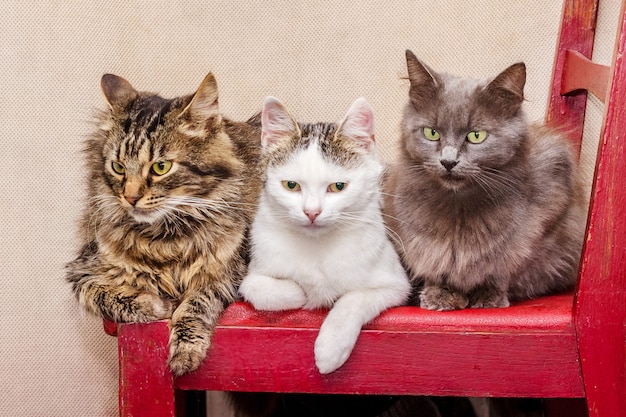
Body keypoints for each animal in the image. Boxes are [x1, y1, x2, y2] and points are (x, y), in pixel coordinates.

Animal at [67, 73, 262, 376]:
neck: (165, 238)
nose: (130, 197)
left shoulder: (229, 270)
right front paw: (156, 305)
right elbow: (103, 294)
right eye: (118, 167)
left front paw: (185, 352)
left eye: (161, 167)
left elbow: (194, 305)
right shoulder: (82, 269)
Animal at [235, 95, 410, 374]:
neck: (316, 247)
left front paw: (332, 347)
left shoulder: (395, 284)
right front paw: (302, 293)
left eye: (338, 186)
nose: (312, 212)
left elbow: (353, 299)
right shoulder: (255, 270)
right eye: (291, 185)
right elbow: (257, 288)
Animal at [380, 49, 584, 308]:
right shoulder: (415, 239)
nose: (448, 162)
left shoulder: (547, 212)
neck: (458, 209)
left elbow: (503, 265)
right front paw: (441, 293)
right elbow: (435, 263)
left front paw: (489, 294)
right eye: (431, 133)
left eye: (476, 136)